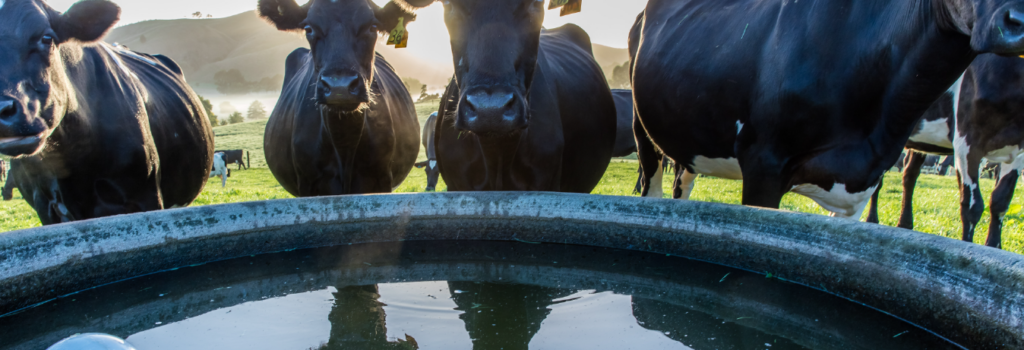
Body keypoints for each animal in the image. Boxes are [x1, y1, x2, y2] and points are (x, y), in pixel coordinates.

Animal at [258, 0, 421, 196]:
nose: (339, 87)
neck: (344, 143)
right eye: (308, 28)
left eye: (372, 27)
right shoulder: (307, 183)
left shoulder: (381, 179)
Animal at [864, 54, 1024, 247]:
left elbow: (1000, 202)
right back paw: (872, 220)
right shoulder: (967, 142)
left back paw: (905, 224)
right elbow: (972, 206)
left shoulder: (1018, 153)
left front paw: (993, 247)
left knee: (909, 174)